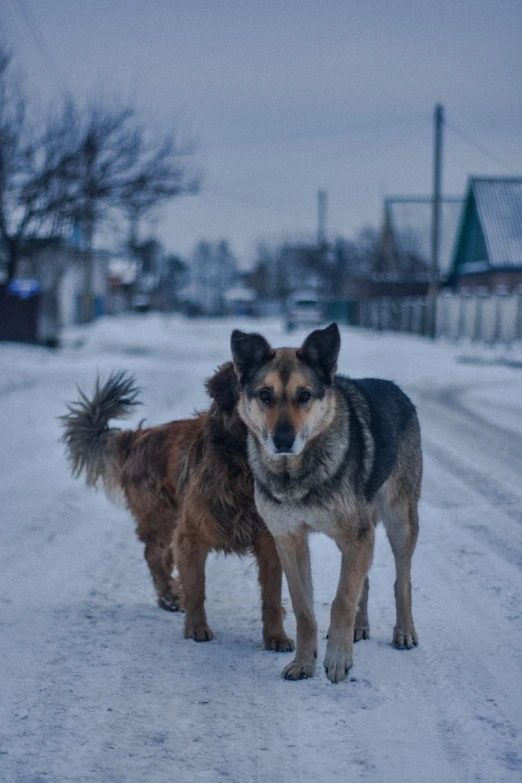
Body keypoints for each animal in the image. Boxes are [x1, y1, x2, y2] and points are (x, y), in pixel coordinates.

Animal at [61, 364, 292, 652]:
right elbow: (196, 588)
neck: (241, 468)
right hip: (163, 518)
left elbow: (271, 593)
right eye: (262, 394)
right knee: (152, 554)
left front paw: (276, 637)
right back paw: (169, 596)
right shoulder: (190, 536)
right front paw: (197, 628)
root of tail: (136, 437)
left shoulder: (268, 540)